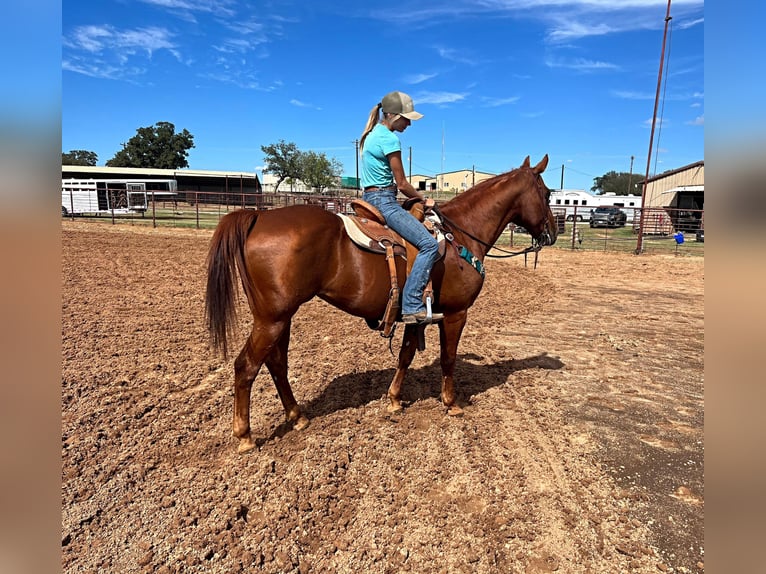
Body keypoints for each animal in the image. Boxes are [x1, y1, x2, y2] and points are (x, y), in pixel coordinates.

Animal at [207, 154, 560, 454]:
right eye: (546, 194)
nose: (554, 233)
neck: (459, 237)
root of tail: (257, 216)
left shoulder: (417, 315)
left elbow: (405, 355)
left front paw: (393, 399)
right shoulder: (456, 314)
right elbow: (448, 359)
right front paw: (451, 403)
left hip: (281, 317)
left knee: (277, 363)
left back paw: (297, 416)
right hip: (273, 319)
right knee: (246, 367)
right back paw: (245, 436)